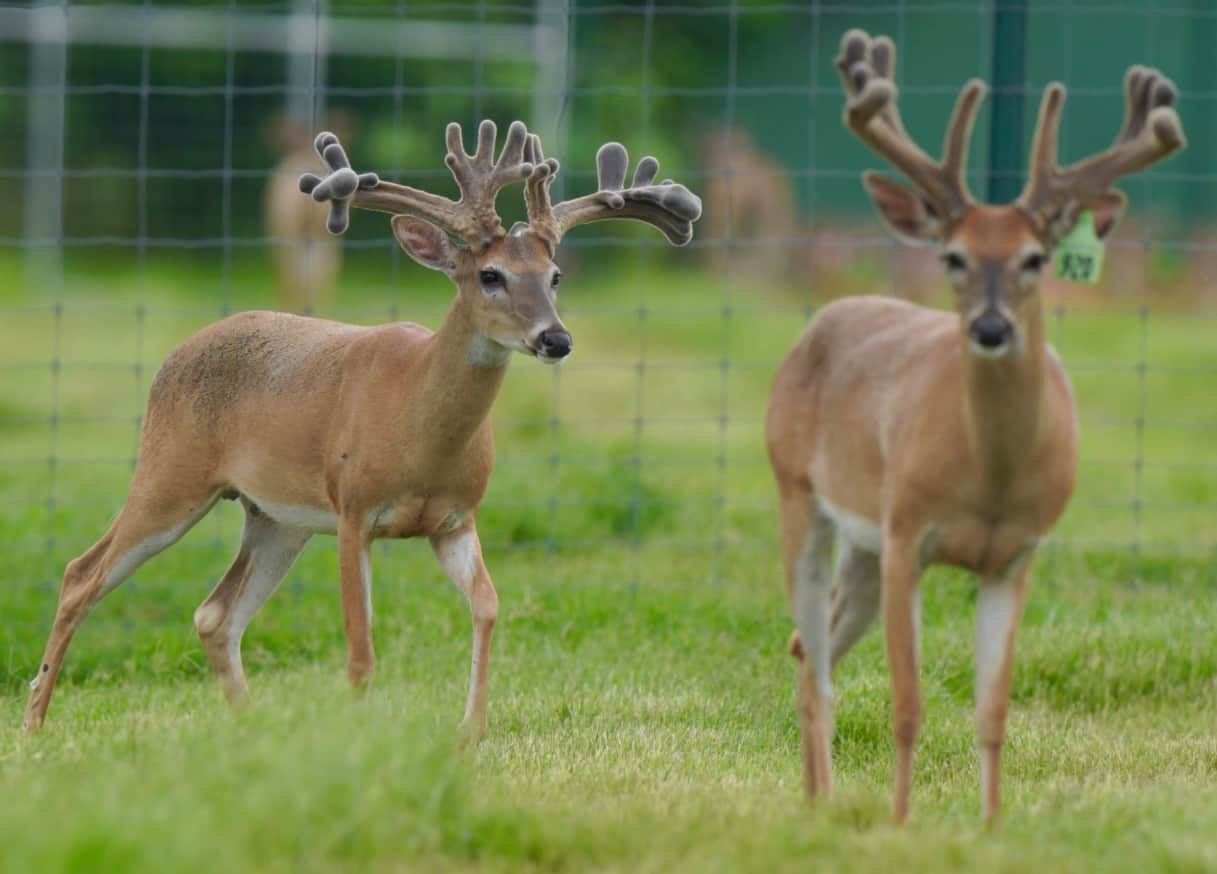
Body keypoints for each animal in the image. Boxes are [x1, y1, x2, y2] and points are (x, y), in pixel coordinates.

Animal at [22, 119, 702, 737]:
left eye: (554, 276)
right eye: (491, 275)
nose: (555, 339)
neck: (417, 429)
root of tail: (174, 355)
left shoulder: (456, 519)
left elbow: (487, 607)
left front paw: (472, 731)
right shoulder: (353, 510)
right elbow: (360, 648)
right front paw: (357, 738)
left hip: (276, 516)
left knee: (216, 614)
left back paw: (249, 728)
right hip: (171, 472)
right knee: (82, 575)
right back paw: (34, 725)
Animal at [766, 29, 1184, 822]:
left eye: (1036, 257)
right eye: (953, 256)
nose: (990, 329)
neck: (988, 478)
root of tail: (822, 317)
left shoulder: (1015, 555)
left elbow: (993, 712)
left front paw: (990, 827)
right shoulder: (908, 533)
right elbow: (907, 705)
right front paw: (901, 824)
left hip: (862, 549)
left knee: (812, 653)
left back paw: (817, 802)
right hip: (800, 495)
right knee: (812, 657)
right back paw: (823, 806)